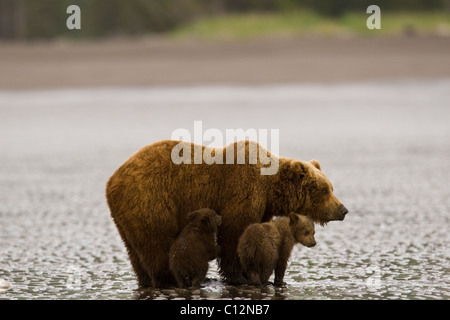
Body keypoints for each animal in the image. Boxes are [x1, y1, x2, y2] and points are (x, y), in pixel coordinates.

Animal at [106, 140, 348, 288]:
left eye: (331, 187)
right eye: (324, 190)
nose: (343, 210)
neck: (270, 189)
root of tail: (111, 181)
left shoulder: (263, 207)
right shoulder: (242, 191)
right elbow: (234, 234)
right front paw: (239, 275)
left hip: (125, 217)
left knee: (136, 252)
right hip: (151, 199)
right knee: (158, 244)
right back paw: (173, 279)